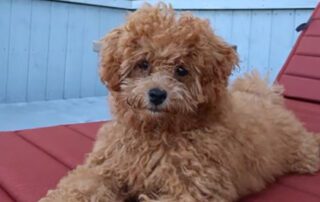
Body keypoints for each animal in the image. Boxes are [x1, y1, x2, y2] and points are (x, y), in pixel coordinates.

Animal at [39, 3, 320, 202]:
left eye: (181, 70)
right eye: (143, 64)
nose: (157, 94)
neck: (156, 132)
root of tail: (264, 96)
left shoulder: (194, 188)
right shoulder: (105, 167)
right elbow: (80, 186)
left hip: (301, 152)